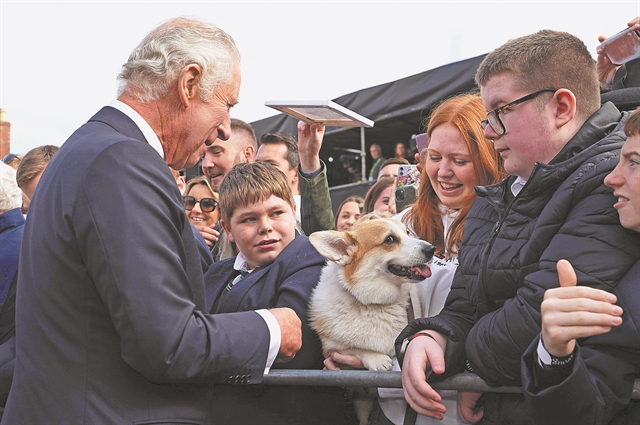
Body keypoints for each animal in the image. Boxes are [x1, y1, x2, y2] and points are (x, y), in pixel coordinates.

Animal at [308, 214, 436, 370]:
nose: (432, 249)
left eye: (407, 232)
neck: (374, 302)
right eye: (389, 239)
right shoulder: (331, 350)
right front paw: (377, 359)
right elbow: (355, 349)